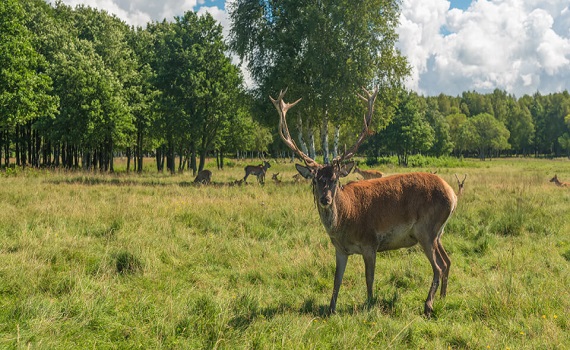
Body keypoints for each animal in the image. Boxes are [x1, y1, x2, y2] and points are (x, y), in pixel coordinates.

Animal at [270, 87, 458, 318]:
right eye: (315, 180)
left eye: (335, 179)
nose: (325, 199)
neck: (346, 221)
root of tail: (452, 194)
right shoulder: (340, 249)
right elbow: (337, 280)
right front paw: (331, 309)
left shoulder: (371, 242)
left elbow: (369, 279)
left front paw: (369, 305)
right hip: (438, 233)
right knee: (447, 261)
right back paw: (443, 298)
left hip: (427, 230)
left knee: (438, 266)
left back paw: (428, 305)